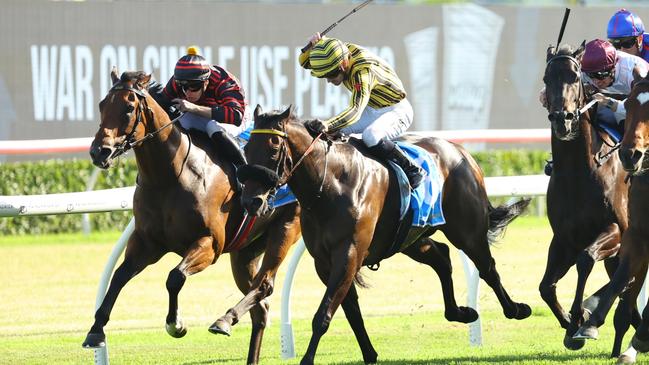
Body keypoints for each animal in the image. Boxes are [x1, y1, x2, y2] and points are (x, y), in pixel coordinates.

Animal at [82, 69, 302, 364]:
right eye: (102, 104)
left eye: (129, 107)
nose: (99, 151)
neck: (170, 176)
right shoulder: (146, 243)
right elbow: (118, 276)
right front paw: (95, 331)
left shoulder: (209, 244)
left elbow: (175, 277)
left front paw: (175, 324)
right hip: (245, 252)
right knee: (261, 307)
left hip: (286, 229)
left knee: (265, 286)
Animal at [238, 104, 532, 362]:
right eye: (247, 148)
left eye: (274, 148)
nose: (251, 201)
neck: (330, 183)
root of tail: (463, 153)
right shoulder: (325, 261)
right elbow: (350, 311)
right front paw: (370, 354)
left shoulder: (348, 254)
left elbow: (323, 314)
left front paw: (308, 359)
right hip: (410, 238)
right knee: (441, 256)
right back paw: (460, 312)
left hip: (467, 230)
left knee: (487, 268)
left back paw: (516, 308)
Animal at [536, 43, 636, 356]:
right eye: (547, 79)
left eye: (574, 76)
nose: (563, 120)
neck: (579, 171)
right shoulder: (564, 238)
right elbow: (546, 286)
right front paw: (570, 325)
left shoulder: (618, 230)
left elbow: (586, 259)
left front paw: (581, 318)